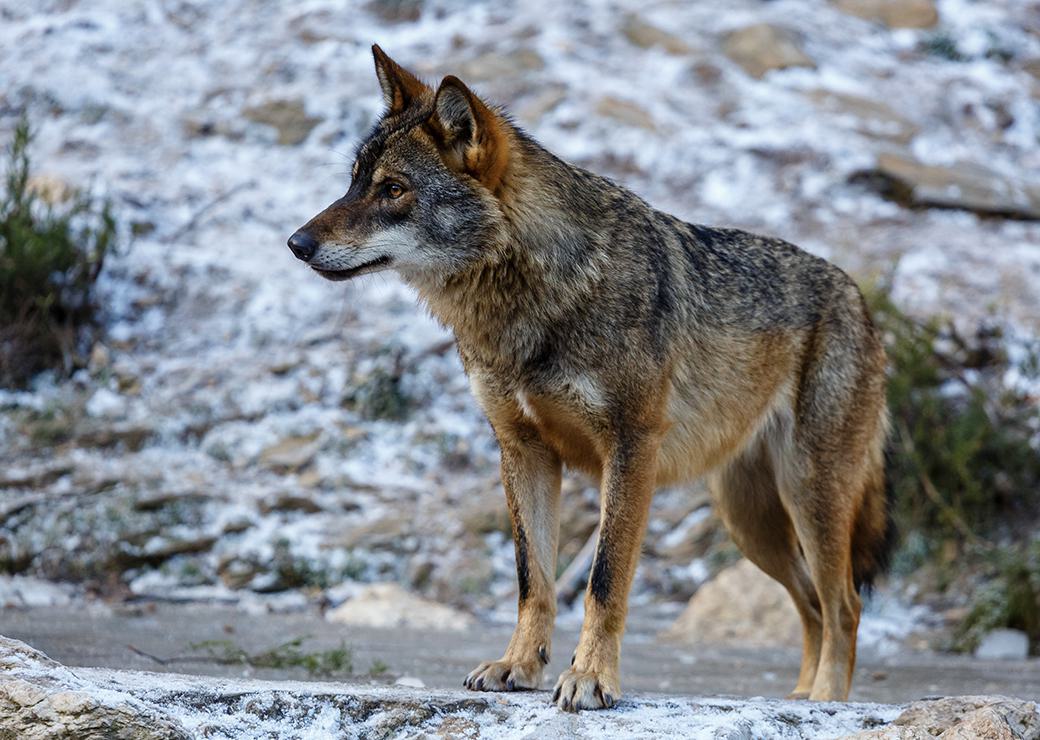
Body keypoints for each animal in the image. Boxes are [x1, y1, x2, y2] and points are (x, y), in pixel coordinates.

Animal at [287, 45, 893, 711]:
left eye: (393, 189)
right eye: (352, 181)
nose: (296, 242)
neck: (533, 299)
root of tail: (859, 298)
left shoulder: (630, 449)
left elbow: (603, 581)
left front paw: (591, 678)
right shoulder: (522, 451)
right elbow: (534, 580)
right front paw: (518, 666)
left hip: (809, 497)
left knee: (844, 604)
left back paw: (828, 701)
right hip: (751, 522)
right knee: (811, 604)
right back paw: (801, 697)